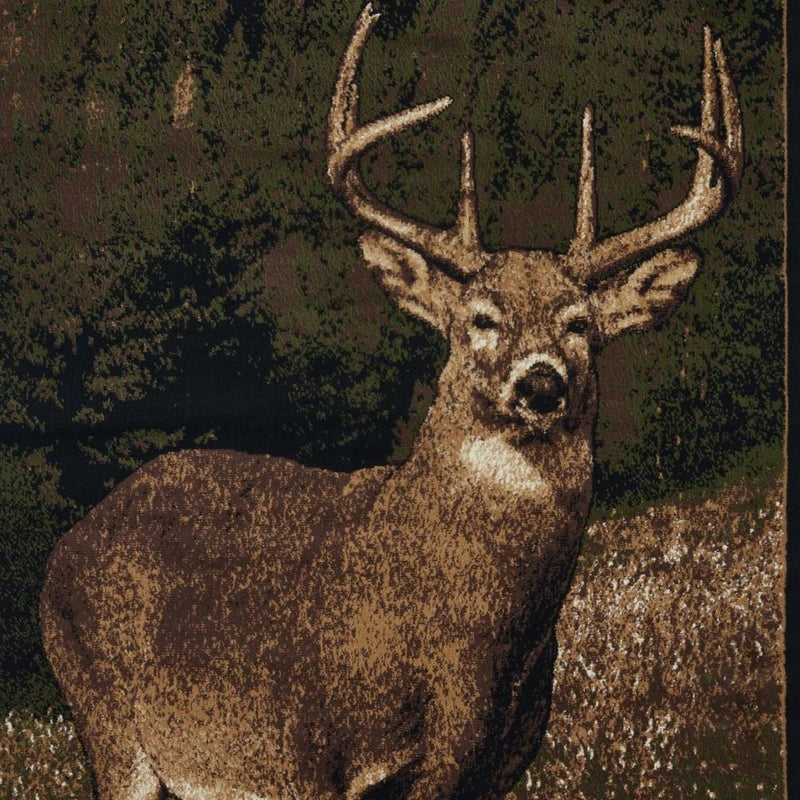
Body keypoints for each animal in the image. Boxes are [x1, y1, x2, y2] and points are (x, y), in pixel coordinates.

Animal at [40, 6, 742, 800]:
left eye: (580, 325)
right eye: (479, 318)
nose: (541, 383)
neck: (464, 649)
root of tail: (69, 543)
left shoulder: (502, 764)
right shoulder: (306, 749)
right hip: (108, 718)